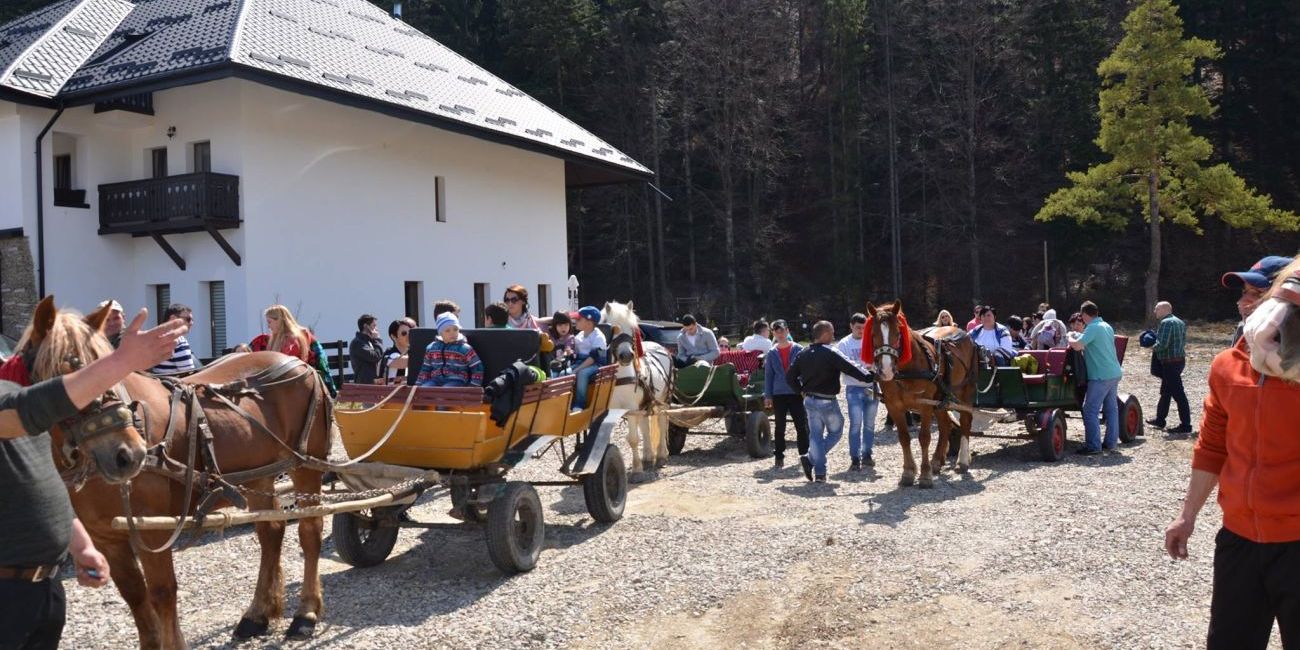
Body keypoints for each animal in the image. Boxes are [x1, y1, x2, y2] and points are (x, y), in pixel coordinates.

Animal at [19, 297, 332, 647]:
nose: (127, 455)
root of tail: (301, 365)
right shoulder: (106, 537)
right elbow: (135, 595)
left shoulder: (152, 529)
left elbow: (162, 592)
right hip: (258, 475)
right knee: (271, 533)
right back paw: (256, 615)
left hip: (306, 466)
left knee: (309, 531)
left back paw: (305, 613)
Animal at [603, 301, 676, 475]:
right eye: (613, 329)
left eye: (632, 329)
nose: (626, 356)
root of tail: (660, 347)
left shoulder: (630, 408)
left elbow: (633, 439)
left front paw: (636, 469)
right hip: (645, 403)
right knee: (645, 427)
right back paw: (648, 457)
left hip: (663, 401)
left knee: (662, 423)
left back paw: (661, 456)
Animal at [863, 300, 977, 488]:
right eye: (872, 334)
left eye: (898, 333)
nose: (886, 370)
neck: (906, 370)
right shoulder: (894, 406)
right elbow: (904, 438)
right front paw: (908, 472)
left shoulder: (925, 405)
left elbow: (924, 437)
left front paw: (924, 475)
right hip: (940, 400)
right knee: (945, 426)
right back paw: (937, 461)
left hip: (965, 390)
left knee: (966, 420)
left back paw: (962, 461)